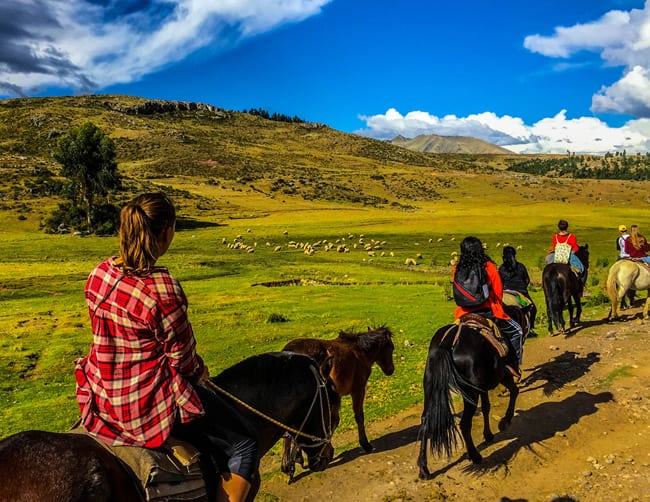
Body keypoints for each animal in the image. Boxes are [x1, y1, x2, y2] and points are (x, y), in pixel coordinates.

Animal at [280, 326, 392, 458]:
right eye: (391, 347)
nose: (391, 370)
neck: (359, 351)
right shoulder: (358, 390)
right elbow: (357, 416)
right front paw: (365, 444)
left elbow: (334, 421)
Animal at [416, 306, 528, 478]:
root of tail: (448, 342)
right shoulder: (503, 375)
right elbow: (514, 391)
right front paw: (505, 421)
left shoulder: (482, 386)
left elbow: (487, 407)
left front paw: (488, 434)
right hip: (470, 392)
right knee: (464, 423)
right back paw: (475, 455)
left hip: (431, 386)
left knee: (425, 421)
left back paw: (424, 468)